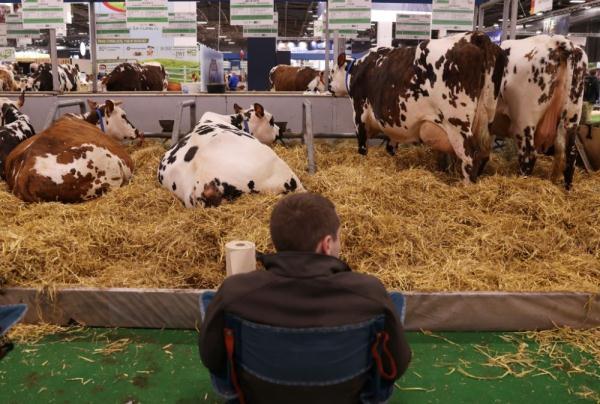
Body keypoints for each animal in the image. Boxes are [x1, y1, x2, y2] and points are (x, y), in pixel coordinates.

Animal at [328, 32, 506, 184]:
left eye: (331, 71)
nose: (328, 86)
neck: (357, 69)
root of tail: (475, 36)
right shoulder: (394, 125)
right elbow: (391, 146)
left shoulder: (359, 115)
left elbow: (362, 147)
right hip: (486, 119)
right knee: (483, 154)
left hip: (457, 123)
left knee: (470, 156)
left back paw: (466, 186)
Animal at [492, 34, 584, 189]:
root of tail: (556, 41)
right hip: (572, 116)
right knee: (571, 155)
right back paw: (567, 189)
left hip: (524, 121)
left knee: (528, 155)